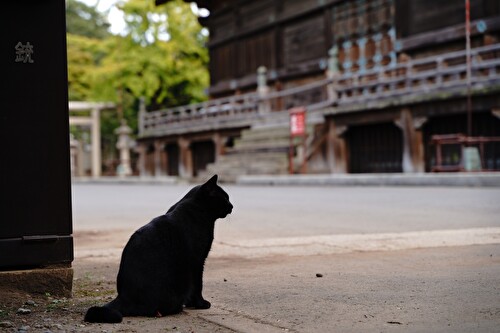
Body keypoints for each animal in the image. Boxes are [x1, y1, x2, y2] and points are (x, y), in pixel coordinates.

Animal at [85, 174, 233, 322]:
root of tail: (122, 297)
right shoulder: (197, 262)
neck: (196, 208)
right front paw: (200, 304)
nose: (232, 206)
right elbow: (198, 285)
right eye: (225, 197)